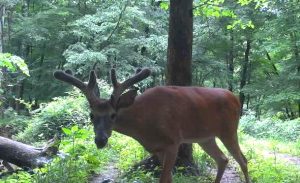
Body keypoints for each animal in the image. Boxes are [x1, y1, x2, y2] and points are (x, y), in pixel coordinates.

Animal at [53, 68, 248, 183]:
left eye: (113, 115)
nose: (100, 140)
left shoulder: (173, 142)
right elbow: (169, 178)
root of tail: (236, 98)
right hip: (206, 138)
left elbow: (164, 179)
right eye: (91, 115)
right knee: (223, 159)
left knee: (242, 160)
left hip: (229, 130)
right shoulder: (156, 148)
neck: (144, 124)